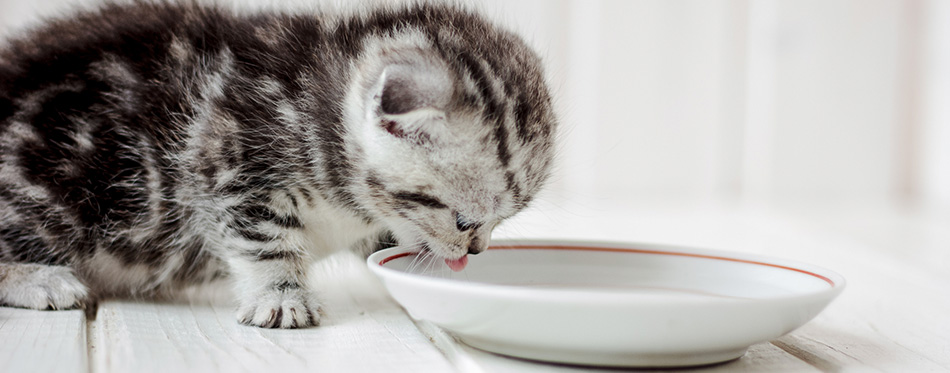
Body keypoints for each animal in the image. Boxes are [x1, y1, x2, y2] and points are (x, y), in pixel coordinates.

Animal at [0, 0, 556, 326]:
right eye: (463, 219)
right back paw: (39, 279)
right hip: (63, 192)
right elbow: (265, 241)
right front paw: (283, 295)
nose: (477, 251)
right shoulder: (225, 159)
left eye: (500, 221)